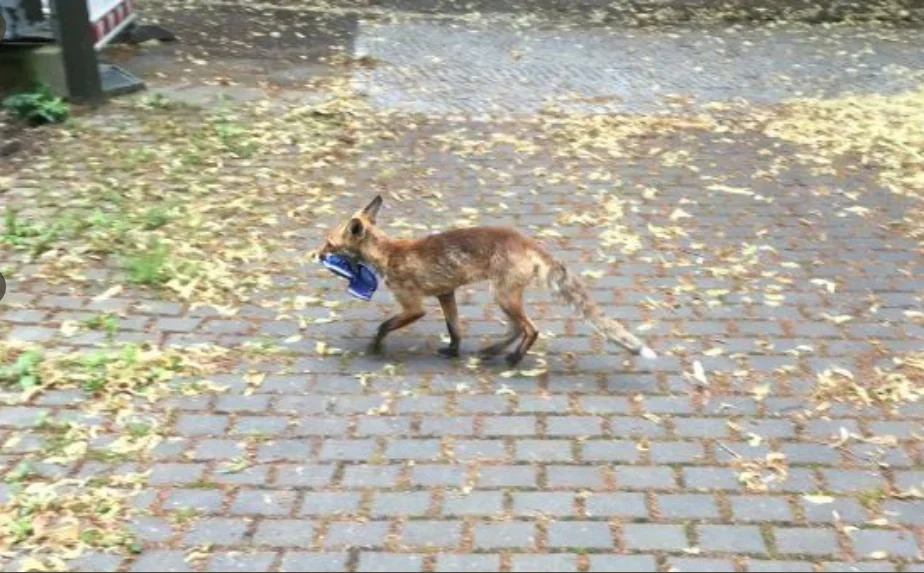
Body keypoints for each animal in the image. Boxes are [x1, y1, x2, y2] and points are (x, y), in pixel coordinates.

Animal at [316, 195, 658, 367]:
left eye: (329, 244)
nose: (315, 254)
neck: (389, 253)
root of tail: (527, 240)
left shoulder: (414, 306)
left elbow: (383, 325)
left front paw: (374, 348)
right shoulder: (446, 294)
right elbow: (454, 329)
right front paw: (453, 352)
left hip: (502, 296)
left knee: (530, 329)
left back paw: (513, 359)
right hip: (505, 298)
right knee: (516, 329)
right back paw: (491, 352)